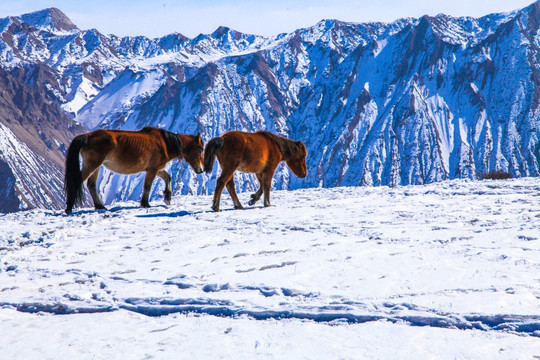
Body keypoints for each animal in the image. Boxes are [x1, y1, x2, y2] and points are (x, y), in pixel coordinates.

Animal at [64, 127, 204, 214]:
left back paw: (100, 206)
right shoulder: (152, 170)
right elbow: (147, 186)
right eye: (200, 149)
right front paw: (145, 203)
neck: (164, 143)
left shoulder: (156, 169)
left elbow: (168, 177)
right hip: (92, 165)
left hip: (96, 167)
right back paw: (69, 208)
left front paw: (167, 197)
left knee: (91, 185)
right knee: (77, 182)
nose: (201, 170)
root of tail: (88, 136)